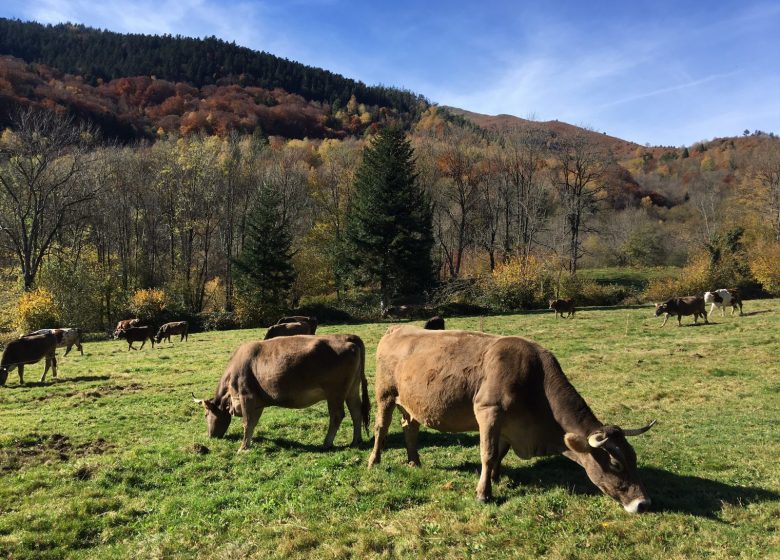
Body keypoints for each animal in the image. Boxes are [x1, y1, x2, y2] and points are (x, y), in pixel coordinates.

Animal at [191, 334, 368, 452]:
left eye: (206, 415)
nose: (210, 436)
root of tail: (347, 337)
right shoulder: (257, 402)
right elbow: (253, 423)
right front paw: (248, 443)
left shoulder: (246, 397)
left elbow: (247, 423)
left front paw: (242, 448)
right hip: (352, 389)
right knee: (356, 411)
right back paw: (356, 441)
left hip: (335, 392)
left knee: (337, 415)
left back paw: (327, 443)